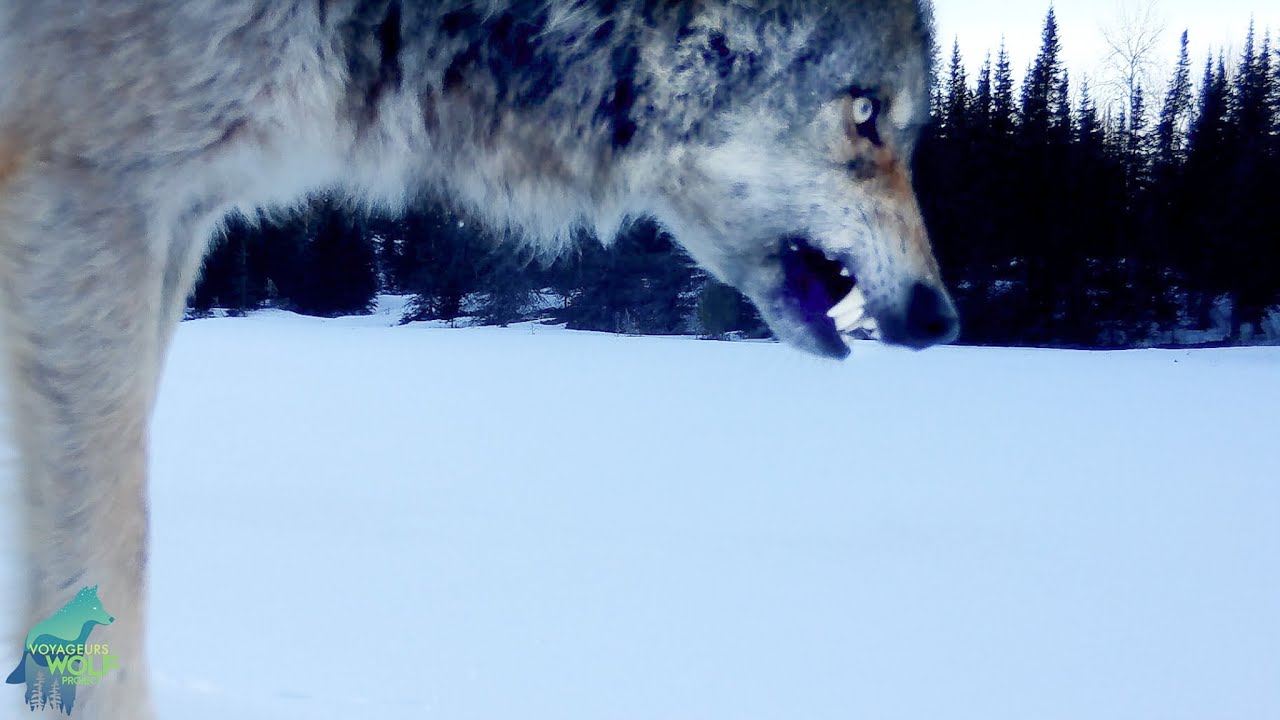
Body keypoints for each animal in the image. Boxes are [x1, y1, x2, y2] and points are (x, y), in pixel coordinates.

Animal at [0, 1, 956, 716]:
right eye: (865, 114)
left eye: (899, 124)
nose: (941, 316)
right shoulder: (92, 186)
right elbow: (110, 556)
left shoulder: (178, 216)